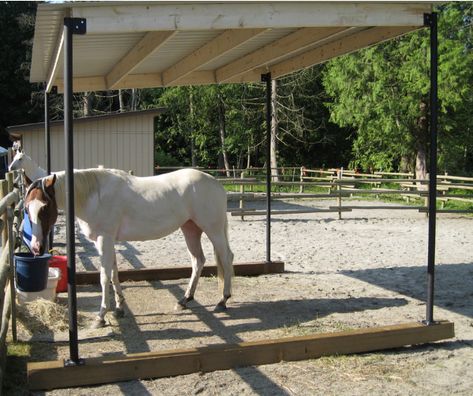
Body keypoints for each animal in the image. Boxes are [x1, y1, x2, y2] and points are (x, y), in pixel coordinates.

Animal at [24, 169, 234, 326]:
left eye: (44, 206)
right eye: (26, 208)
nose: (36, 247)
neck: (95, 196)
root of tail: (215, 183)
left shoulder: (104, 240)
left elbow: (104, 277)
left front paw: (101, 316)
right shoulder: (108, 242)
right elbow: (114, 274)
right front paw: (119, 308)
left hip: (213, 229)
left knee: (226, 258)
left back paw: (223, 300)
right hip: (191, 229)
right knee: (198, 261)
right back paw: (184, 300)